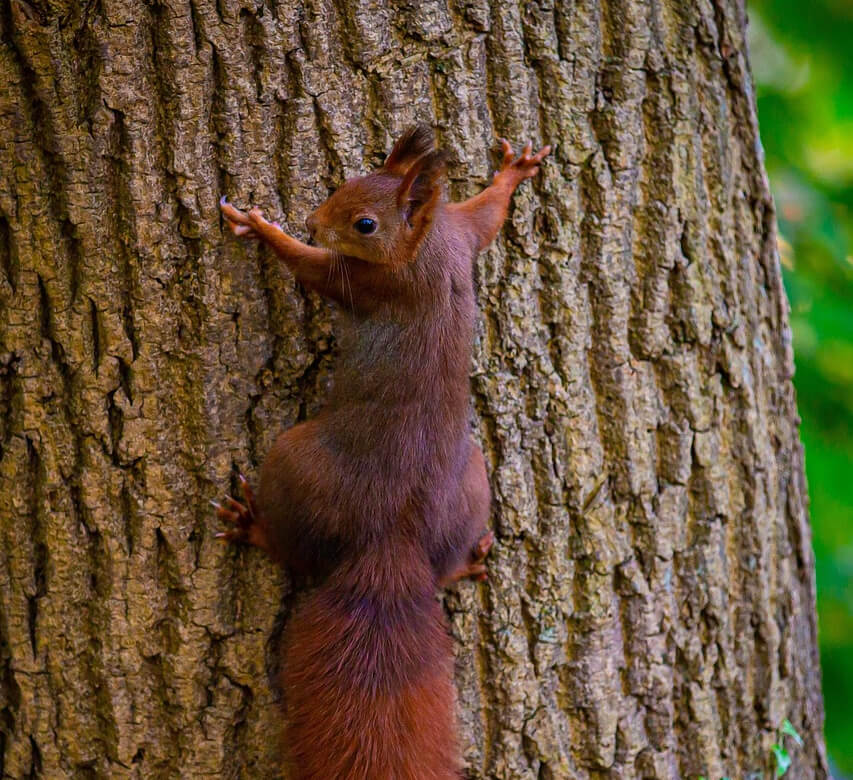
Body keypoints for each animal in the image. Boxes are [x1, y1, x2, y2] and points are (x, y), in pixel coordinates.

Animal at [215, 125, 550, 779]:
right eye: (345, 183)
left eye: (365, 224)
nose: (313, 220)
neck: (423, 251)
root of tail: (390, 541)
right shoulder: (461, 234)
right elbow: (488, 213)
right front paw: (513, 175)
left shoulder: (368, 282)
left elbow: (308, 267)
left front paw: (262, 229)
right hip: (474, 481)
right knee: (445, 563)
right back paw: (466, 563)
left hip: (291, 459)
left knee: (296, 554)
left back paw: (252, 526)